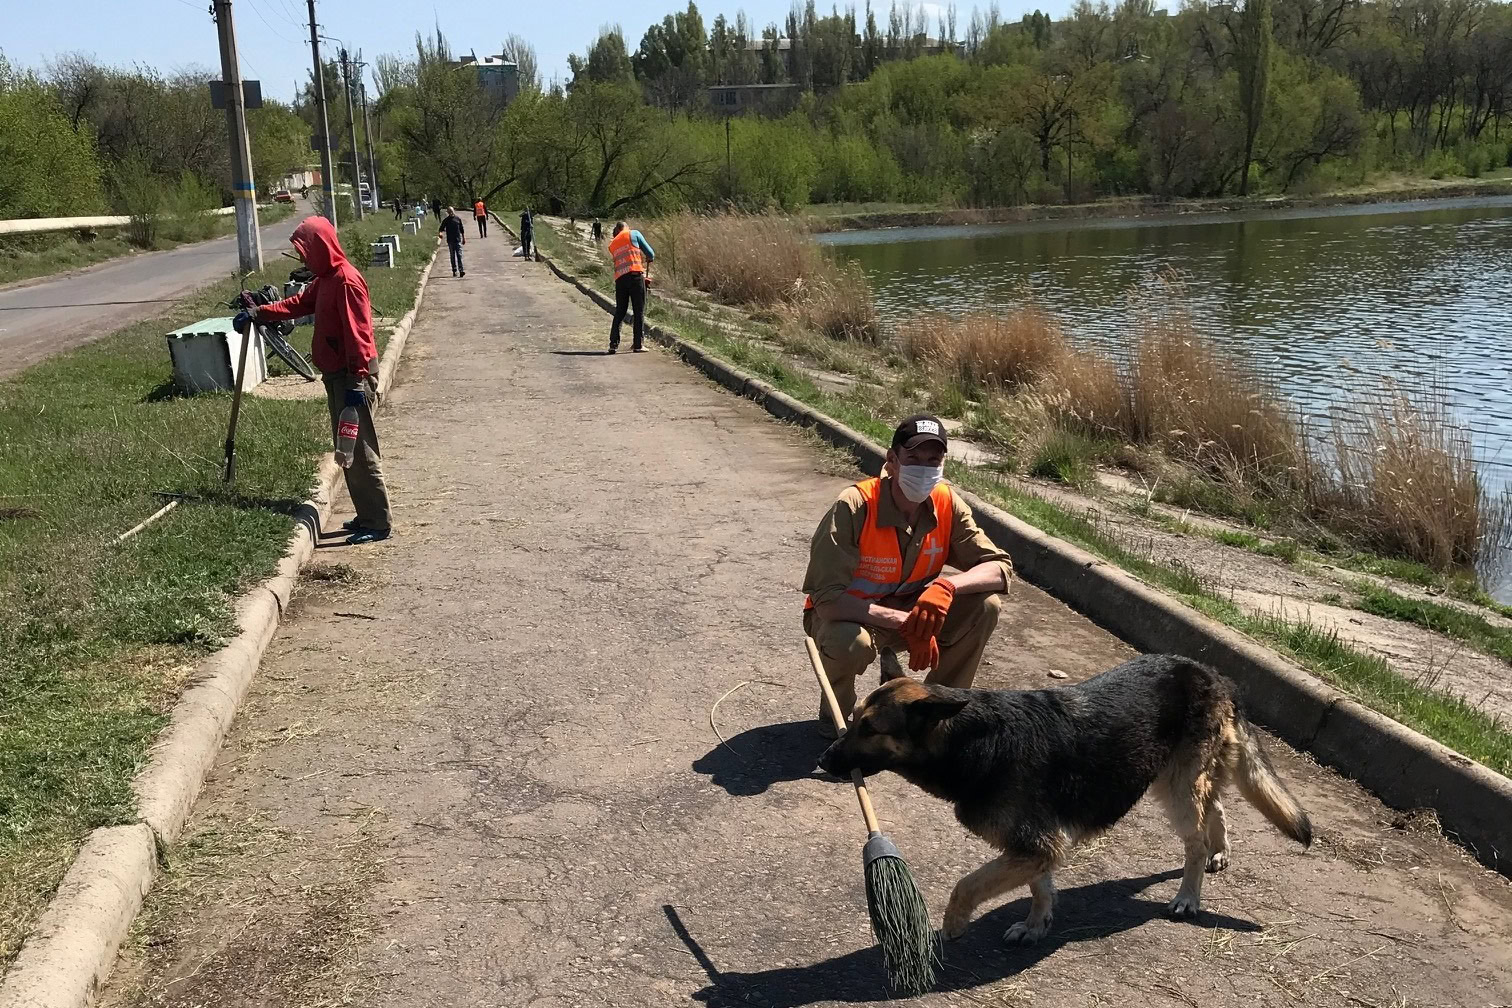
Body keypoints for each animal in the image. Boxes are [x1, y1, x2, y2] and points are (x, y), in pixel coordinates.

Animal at [816, 655, 1312, 949]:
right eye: (853, 719)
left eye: (871, 729)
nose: (823, 758)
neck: (972, 741)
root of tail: (1212, 673)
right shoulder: (1035, 846)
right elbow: (1040, 887)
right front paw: (1037, 924)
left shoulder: (1035, 844)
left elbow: (967, 885)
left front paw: (954, 925)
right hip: (1172, 780)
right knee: (1217, 808)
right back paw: (1221, 852)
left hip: (1178, 789)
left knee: (1195, 841)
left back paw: (1189, 895)